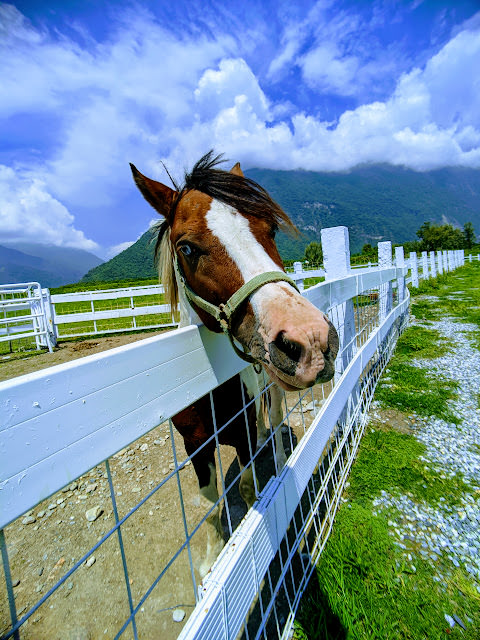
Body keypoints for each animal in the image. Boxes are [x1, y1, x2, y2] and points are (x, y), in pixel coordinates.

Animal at [128, 152, 338, 576]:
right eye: (187, 248)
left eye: (270, 229)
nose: (311, 340)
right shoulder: (195, 444)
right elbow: (209, 502)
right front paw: (211, 559)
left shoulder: (242, 433)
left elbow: (245, 483)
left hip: (274, 391)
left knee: (275, 419)